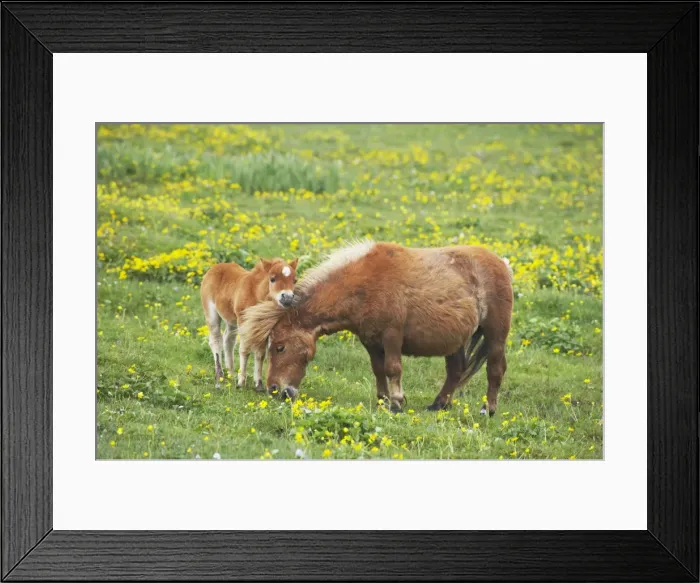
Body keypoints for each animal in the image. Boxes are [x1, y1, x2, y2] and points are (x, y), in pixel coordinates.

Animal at [200, 257, 298, 390]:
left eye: (294, 281)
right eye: (272, 279)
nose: (287, 298)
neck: (256, 293)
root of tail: (215, 267)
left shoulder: (263, 328)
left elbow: (260, 354)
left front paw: (259, 385)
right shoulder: (243, 322)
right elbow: (245, 350)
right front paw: (241, 383)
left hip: (232, 320)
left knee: (228, 340)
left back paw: (231, 374)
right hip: (212, 314)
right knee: (216, 340)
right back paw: (220, 376)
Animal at [238, 240, 513, 414]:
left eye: (280, 347)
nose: (275, 390)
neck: (364, 285)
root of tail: (502, 264)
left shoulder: (392, 336)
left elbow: (392, 369)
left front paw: (396, 403)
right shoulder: (370, 340)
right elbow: (378, 369)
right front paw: (383, 400)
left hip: (495, 334)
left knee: (495, 369)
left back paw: (488, 409)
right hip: (454, 342)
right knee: (455, 371)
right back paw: (438, 405)